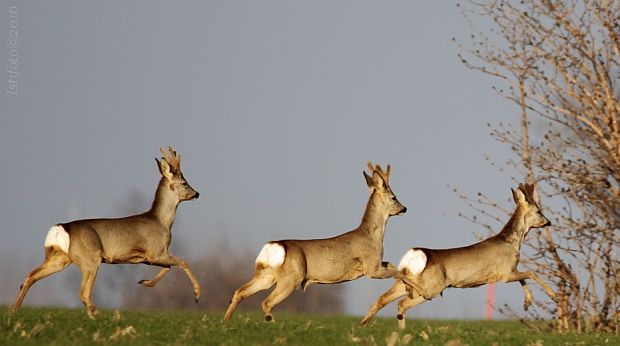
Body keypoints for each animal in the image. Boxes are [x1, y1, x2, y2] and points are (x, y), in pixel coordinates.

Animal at [12, 147, 201, 318]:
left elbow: (168, 267)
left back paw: (15, 310)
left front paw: (145, 282)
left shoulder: (149, 258)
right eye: (184, 183)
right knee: (83, 292)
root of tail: (61, 228)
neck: (162, 221)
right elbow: (183, 262)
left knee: (30, 276)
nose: (197, 193)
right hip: (90, 258)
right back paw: (96, 314)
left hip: (59, 258)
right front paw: (197, 294)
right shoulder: (156, 252)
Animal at [223, 162, 406, 322]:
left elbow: (392, 265)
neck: (372, 236)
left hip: (266, 274)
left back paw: (226, 322)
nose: (404, 208)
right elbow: (399, 272)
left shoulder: (375, 264)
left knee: (240, 291)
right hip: (292, 277)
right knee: (267, 302)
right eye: (394, 197)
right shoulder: (371, 267)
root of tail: (273, 246)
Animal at [358, 182, 556, 328]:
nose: (548, 222)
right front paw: (552, 296)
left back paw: (366, 325)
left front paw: (527, 303)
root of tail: (414, 255)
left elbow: (524, 278)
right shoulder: (505, 273)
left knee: (382, 299)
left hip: (405, 281)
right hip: (431, 287)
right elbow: (530, 273)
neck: (511, 242)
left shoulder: (509, 271)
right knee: (402, 304)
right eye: (539, 211)